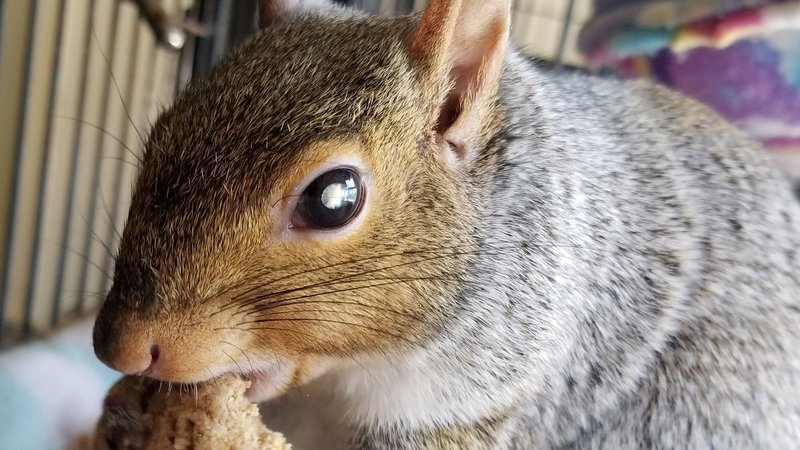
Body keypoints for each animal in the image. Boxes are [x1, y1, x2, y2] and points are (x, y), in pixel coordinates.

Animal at [91, 0, 800, 448]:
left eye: (333, 198)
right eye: (162, 129)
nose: (120, 347)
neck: (343, 381)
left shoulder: (479, 397)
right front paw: (125, 414)